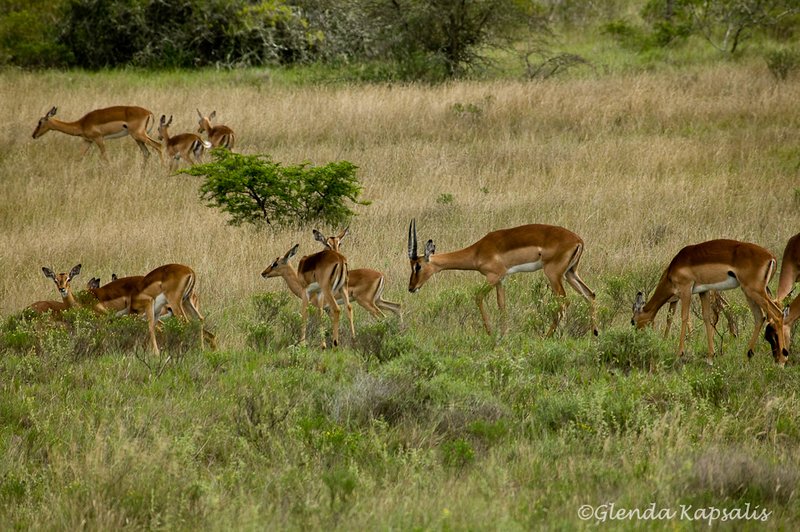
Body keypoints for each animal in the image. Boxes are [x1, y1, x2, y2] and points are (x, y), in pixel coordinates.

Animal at [32, 106, 162, 161]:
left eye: (40, 122)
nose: (33, 135)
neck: (82, 123)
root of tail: (148, 112)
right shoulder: (87, 141)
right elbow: (79, 157)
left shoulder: (99, 139)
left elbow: (105, 157)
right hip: (137, 138)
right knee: (147, 153)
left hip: (139, 135)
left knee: (158, 146)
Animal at [407, 220, 597, 337]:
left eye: (418, 266)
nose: (411, 288)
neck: (478, 251)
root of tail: (578, 240)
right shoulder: (502, 280)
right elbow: (502, 305)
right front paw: (503, 335)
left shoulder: (493, 277)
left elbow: (478, 297)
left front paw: (491, 333)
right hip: (570, 273)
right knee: (590, 294)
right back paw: (594, 333)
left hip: (553, 274)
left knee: (564, 301)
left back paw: (547, 336)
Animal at [632, 239, 788, 366]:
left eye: (632, 321)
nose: (637, 338)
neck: (672, 269)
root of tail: (771, 257)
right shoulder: (704, 292)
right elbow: (707, 318)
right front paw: (710, 357)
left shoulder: (686, 290)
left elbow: (684, 317)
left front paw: (679, 353)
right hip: (749, 292)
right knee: (760, 317)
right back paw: (747, 356)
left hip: (755, 291)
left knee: (777, 314)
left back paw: (782, 360)